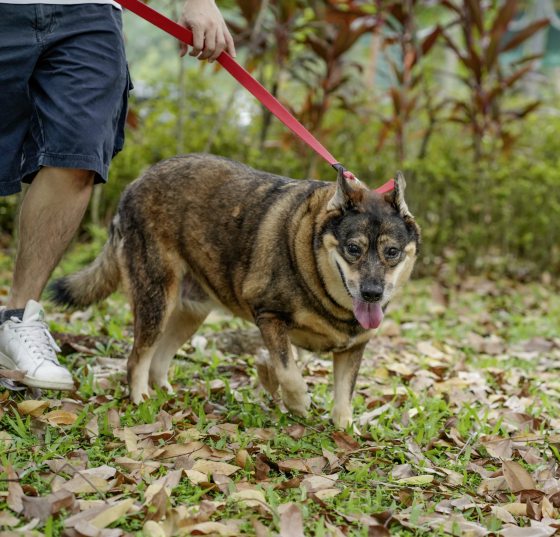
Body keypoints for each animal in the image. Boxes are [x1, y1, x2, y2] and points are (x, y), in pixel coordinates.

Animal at [51, 152, 420, 428]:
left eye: (392, 252)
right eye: (353, 249)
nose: (372, 294)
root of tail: (136, 182)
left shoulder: (352, 348)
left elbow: (344, 398)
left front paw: (345, 433)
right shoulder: (269, 317)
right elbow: (289, 372)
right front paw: (298, 404)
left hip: (191, 313)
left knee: (159, 360)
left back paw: (167, 394)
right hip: (156, 298)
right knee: (136, 359)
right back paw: (141, 399)